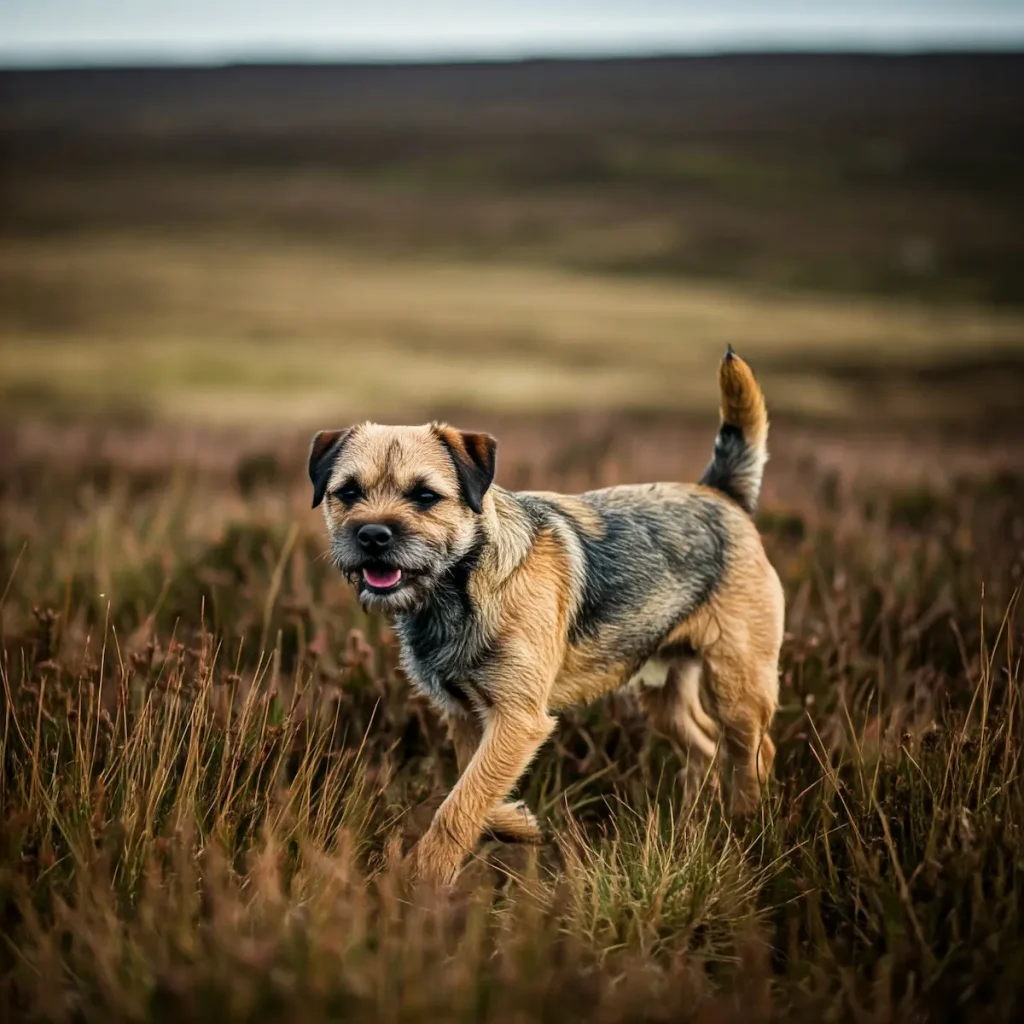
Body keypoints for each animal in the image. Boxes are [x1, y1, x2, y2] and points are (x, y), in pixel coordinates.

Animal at [307, 348, 778, 884]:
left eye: (425, 496)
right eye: (348, 492)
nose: (372, 535)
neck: (461, 584)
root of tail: (720, 494)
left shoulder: (519, 717)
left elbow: (459, 805)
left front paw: (422, 879)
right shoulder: (469, 716)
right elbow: (475, 787)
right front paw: (517, 824)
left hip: (738, 685)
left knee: (755, 753)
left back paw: (746, 825)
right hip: (663, 693)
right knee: (705, 743)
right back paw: (699, 817)